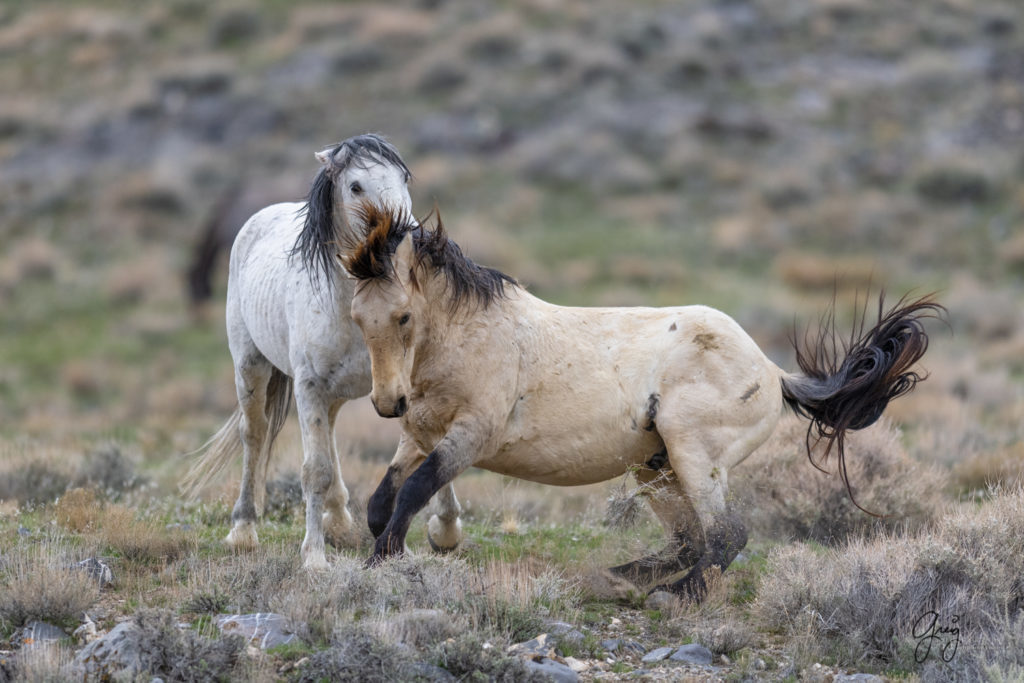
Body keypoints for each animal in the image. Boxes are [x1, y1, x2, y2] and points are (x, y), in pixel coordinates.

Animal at [186, 135, 466, 573]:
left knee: (329, 431)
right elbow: (313, 470)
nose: (409, 240)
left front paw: (447, 530)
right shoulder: (309, 385)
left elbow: (433, 449)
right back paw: (244, 530)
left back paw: (337, 517)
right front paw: (314, 558)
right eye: (356, 186)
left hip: (330, 393)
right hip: (251, 369)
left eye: (404, 178)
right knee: (254, 435)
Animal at [339, 205, 937, 602]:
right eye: (357, 318)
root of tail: (772, 371)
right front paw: (386, 552)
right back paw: (620, 578)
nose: (387, 402)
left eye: (403, 316)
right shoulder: (418, 437)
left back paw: (677, 594)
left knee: (725, 534)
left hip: (695, 456)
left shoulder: (469, 437)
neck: (470, 338)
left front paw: (381, 563)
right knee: (688, 540)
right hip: (657, 467)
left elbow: (414, 491)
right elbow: (381, 501)